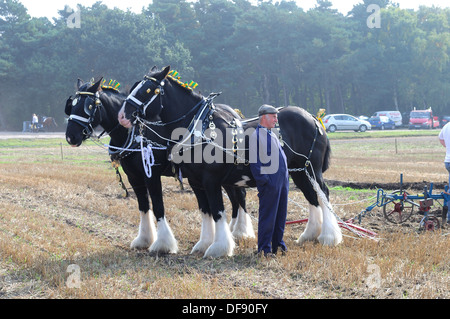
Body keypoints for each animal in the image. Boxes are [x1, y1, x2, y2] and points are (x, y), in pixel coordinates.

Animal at [66, 77, 256, 255]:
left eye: (88, 106)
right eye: (71, 105)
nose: (70, 137)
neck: (134, 132)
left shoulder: (151, 174)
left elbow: (158, 206)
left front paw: (163, 244)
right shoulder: (134, 177)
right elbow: (143, 206)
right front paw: (144, 239)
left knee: (240, 197)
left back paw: (239, 232)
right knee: (236, 198)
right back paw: (234, 232)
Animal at [118, 66, 342, 258]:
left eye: (148, 89)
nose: (122, 116)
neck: (199, 128)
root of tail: (313, 118)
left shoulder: (209, 180)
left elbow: (218, 212)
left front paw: (219, 248)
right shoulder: (196, 182)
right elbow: (205, 211)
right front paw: (204, 244)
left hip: (311, 170)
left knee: (323, 194)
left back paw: (329, 236)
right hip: (299, 172)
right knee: (312, 197)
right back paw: (309, 235)